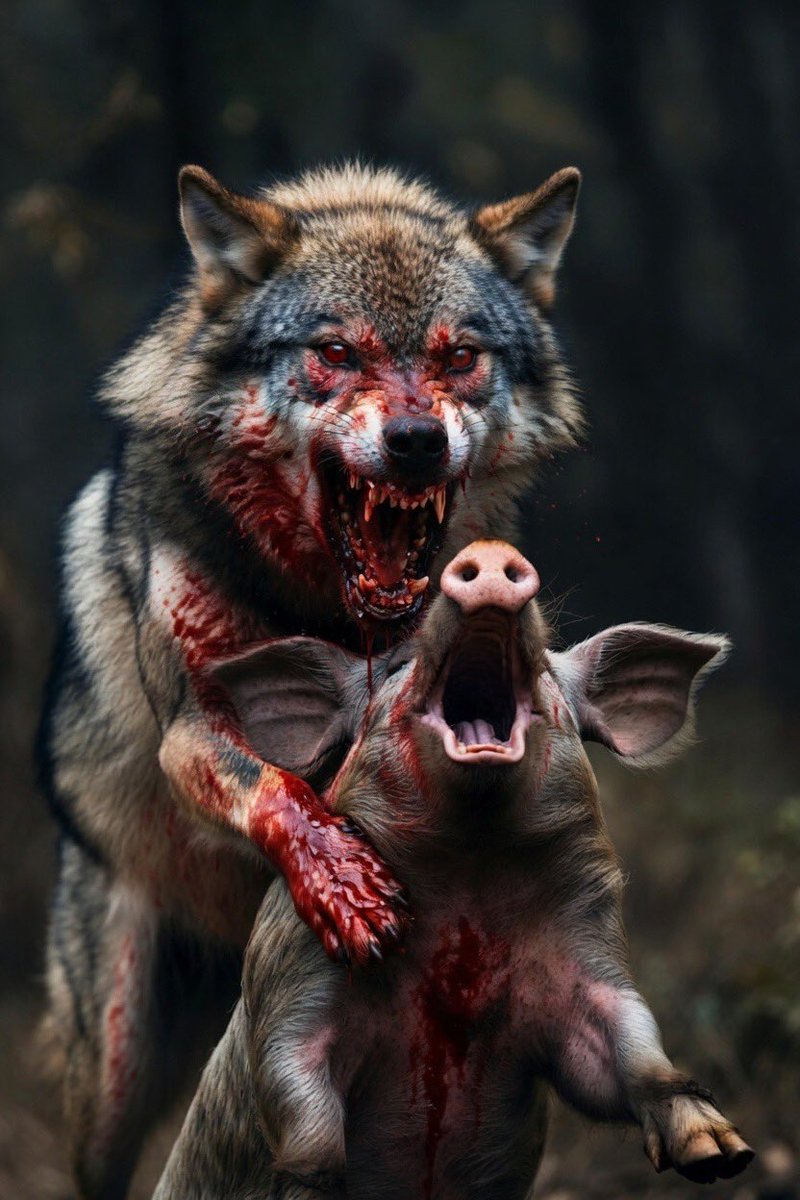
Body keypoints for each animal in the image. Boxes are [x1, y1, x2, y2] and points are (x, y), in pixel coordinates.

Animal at [154, 540, 753, 1200]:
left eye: (547, 670)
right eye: (396, 666)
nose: (491, 551)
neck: (471, 870)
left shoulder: (589, 949)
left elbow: (628, 1047)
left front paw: (722, 1154)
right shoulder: (288, 964)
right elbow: (297, 1094)